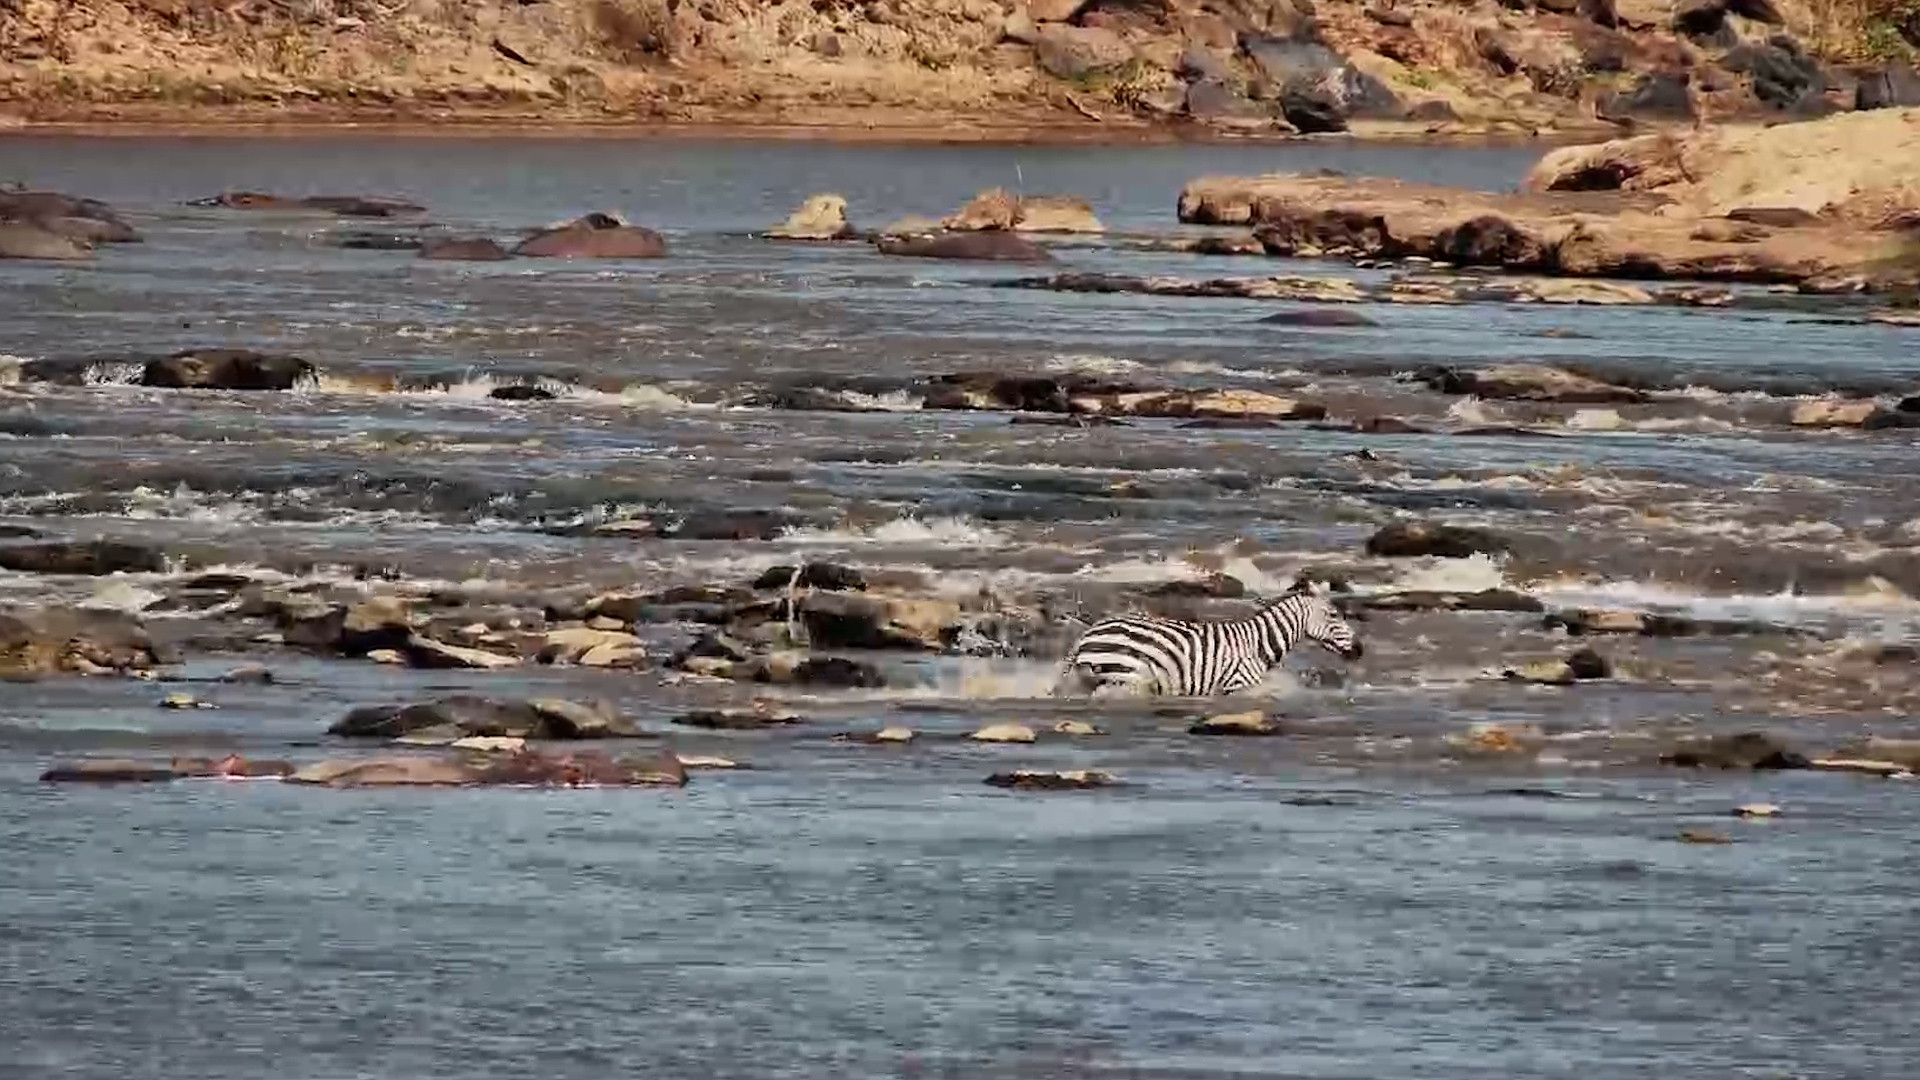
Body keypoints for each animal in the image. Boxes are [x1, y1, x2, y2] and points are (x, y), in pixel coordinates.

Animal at [1050, 579, 1364, 699]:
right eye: (1334, 615)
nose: (1360, 650)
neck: (1257, 645)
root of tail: (1089, 632)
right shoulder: (1237, 684)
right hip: (1126, 673)